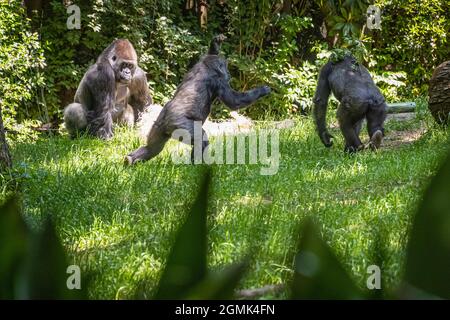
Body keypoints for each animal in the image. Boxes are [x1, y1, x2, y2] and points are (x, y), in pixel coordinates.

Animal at [123, 34, 270, 165]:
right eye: (226, 68)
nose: (229, 74)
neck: (208, 67)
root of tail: (164, 121)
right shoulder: (219, 81)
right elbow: (234, 101)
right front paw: (262, 90)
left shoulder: (200, 63)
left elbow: (209, 54)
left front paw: (215, 43)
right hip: (178, 124)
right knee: (201, 139)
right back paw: (198, 165)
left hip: (157, 127)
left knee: (153, 148)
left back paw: (130, 160)